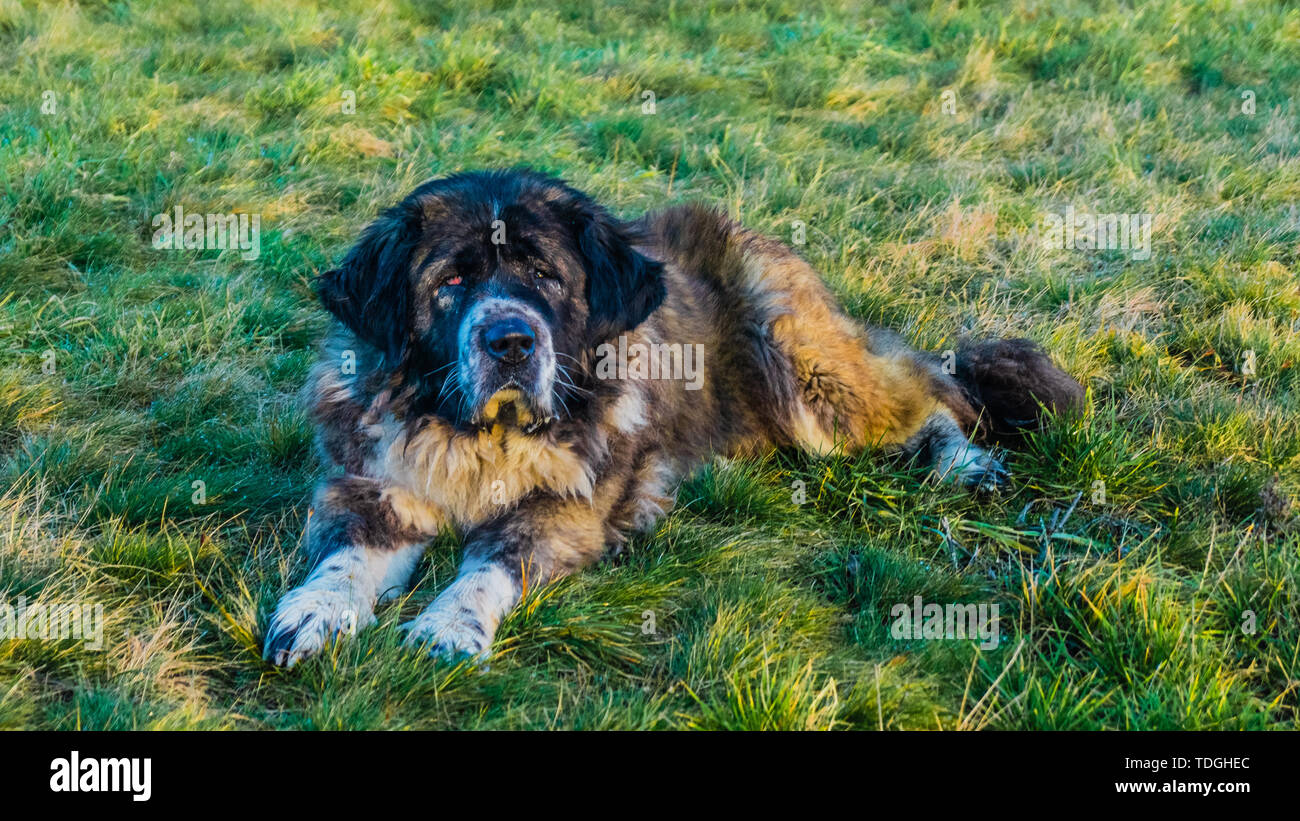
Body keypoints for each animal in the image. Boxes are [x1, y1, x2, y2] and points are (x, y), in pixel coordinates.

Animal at [258, 166, 1081, 665]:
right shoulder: (370, 490)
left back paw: (964, 460)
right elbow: (344, 558)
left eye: (545, 277)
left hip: (804, 372)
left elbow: (486, 567)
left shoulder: (563, 513)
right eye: (452, 281)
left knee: (929, 390)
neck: (478, 435)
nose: (512, 341)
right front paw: (314, 611)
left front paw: (446, 624)